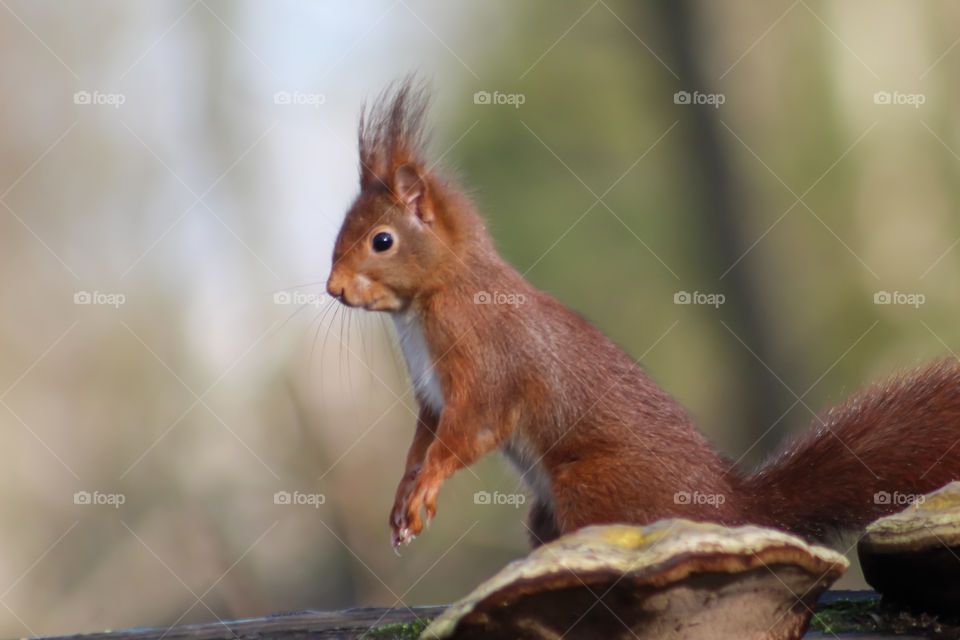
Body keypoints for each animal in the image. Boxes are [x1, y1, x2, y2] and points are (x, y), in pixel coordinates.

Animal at [325, 78, 960, 549]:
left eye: (381, 241)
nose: (332, 289)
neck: (430, 301)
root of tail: (736, 508)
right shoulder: (432, 395)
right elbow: (422, 440)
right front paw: (403, 495)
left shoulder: (484, 360)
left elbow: (469, 430)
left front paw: (425, 487)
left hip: (593, 487)